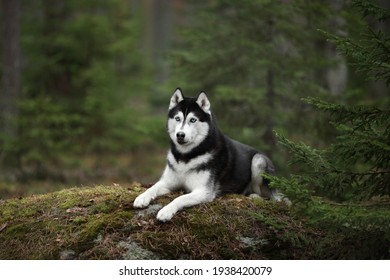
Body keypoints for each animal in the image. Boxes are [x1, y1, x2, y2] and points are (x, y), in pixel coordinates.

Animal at [133, 88, 284, 222]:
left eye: (193, 120)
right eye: (177, 118)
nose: (180, 135)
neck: (186, 157)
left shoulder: (203, 191)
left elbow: (180, 198)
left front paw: (166, 211)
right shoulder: (168, 182)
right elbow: (153, 187)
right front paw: (142, 197)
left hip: (258, 161)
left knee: (267, 196)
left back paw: (254, 196)